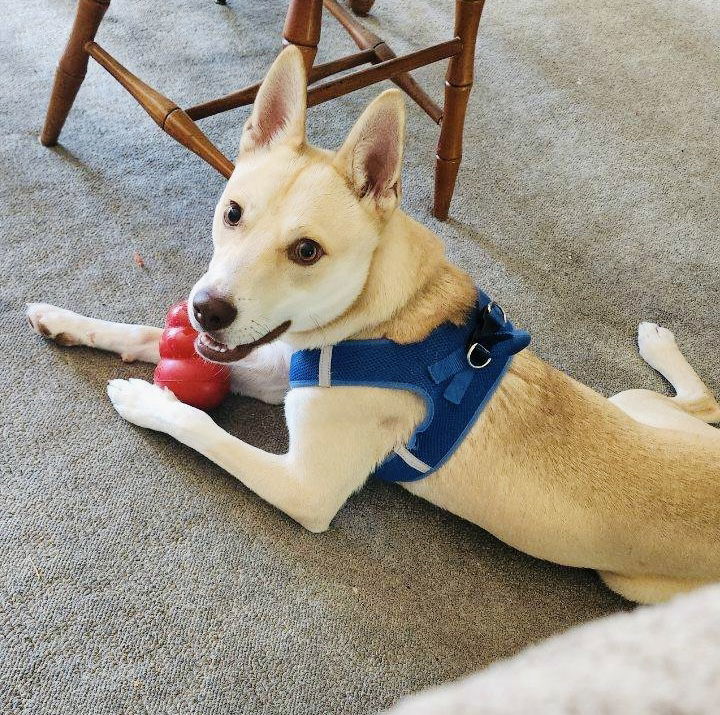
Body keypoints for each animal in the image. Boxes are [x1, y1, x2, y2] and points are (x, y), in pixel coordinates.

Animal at [28, 46, 720, 604]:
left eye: (306, 251)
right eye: (232, 212)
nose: (206, 310)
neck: (381, 318)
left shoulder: (306, 487)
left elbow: (204, 427)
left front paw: (145, 400)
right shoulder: (281, 369)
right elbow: (142, 333)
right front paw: (66, 322)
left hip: (634, 582)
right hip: (631, 403)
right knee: (698, 403)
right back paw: (660, 343)